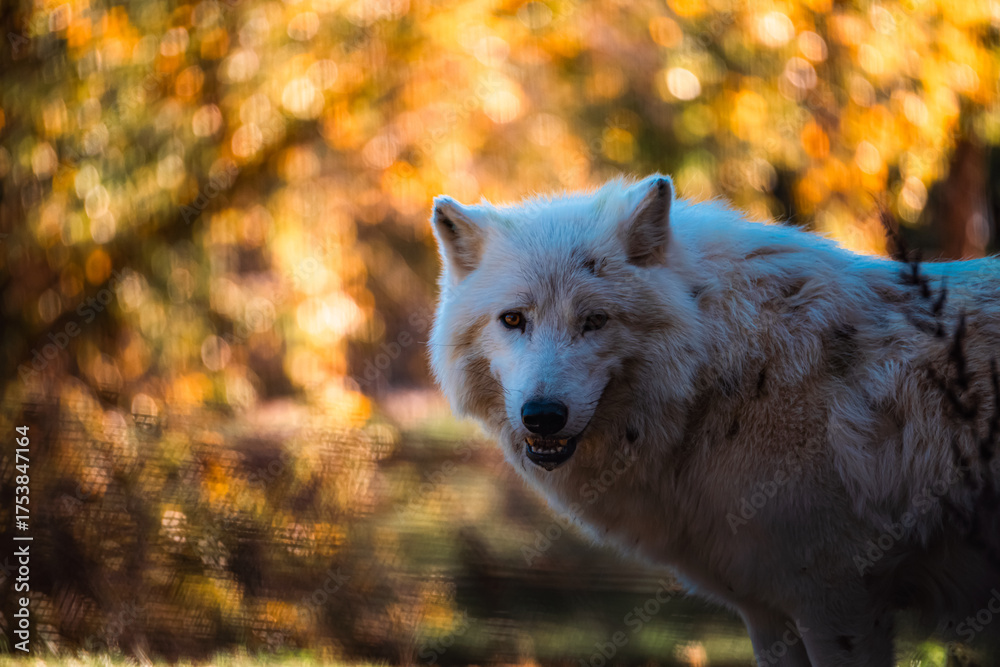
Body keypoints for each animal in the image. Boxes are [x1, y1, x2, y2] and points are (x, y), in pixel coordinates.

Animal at [428, 174, 1000, 666]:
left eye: (594, 321)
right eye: (513, 319)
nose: (543, 416)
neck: (727, 368)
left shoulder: (838, 602)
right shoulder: (768, 611)